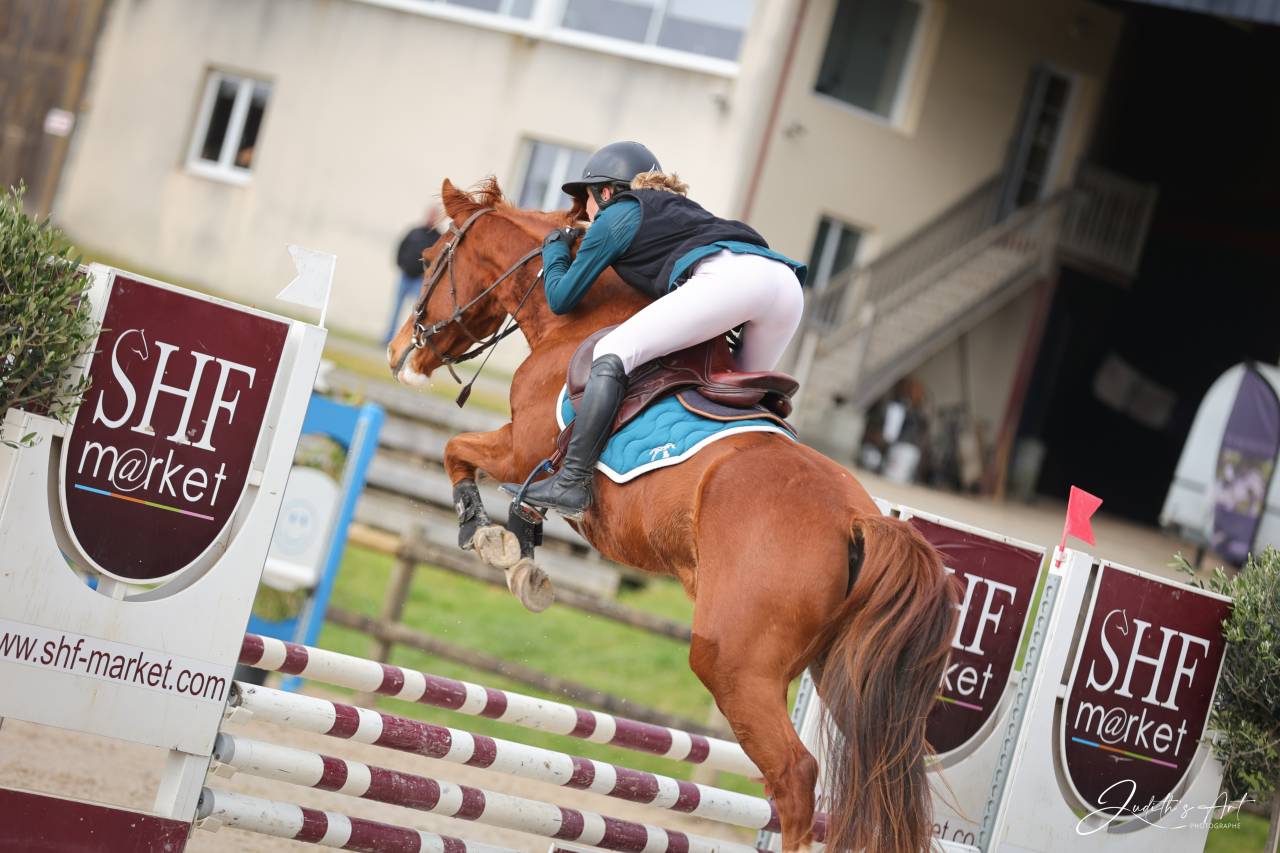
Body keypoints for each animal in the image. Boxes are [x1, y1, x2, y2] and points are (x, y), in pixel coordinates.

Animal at [387, 177, 957, 853]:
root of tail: (861, 519)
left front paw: (487, 537)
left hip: (733, 664)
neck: (575, 321)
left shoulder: (521, 447)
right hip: (854, 677)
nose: (397, 353)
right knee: (883, 772)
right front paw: (522, 550)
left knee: (795, 776)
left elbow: (457, 451)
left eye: (428, 258)